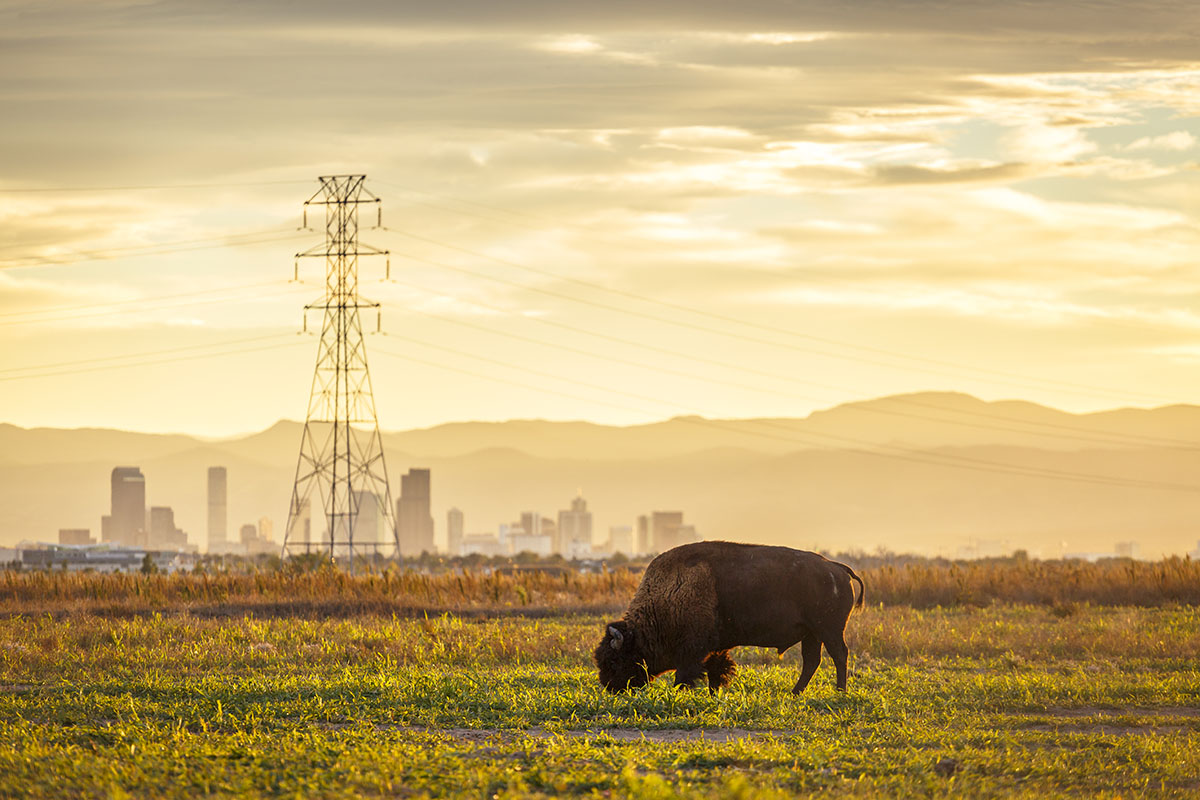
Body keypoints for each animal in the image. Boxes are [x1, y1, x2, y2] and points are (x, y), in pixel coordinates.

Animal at [597, 544, 864, 695]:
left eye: (615, 660)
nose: (610, 687)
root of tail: (837, 568)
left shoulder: (692, 650)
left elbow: (686, 674)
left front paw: (681, 691)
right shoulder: (715, 648)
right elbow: (716, 670)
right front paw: (713, 693)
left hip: (828, 630)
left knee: (839, 655)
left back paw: (839, 691)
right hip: (812, 634)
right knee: (812, 661)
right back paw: (794, 693)